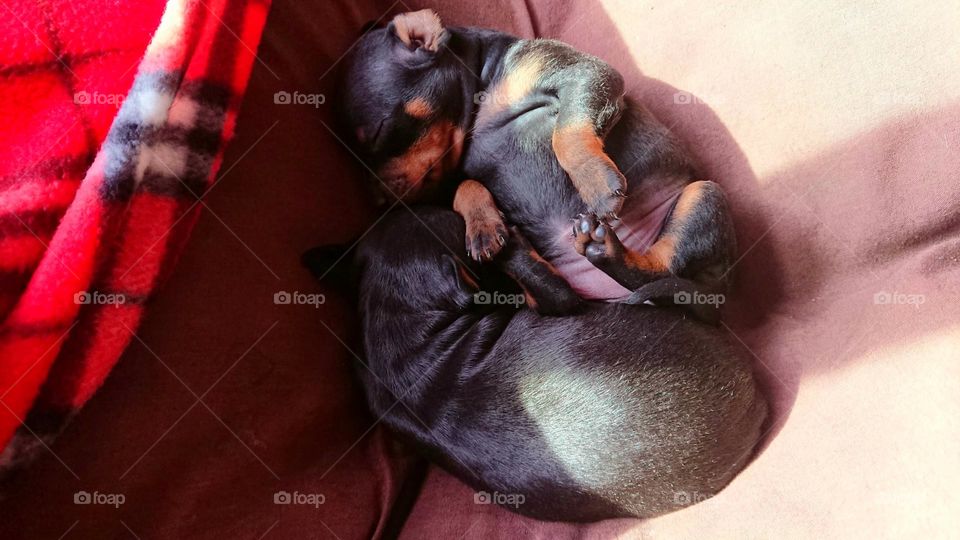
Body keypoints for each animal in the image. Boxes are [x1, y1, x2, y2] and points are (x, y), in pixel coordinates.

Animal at [304, 207, 768, 524]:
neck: (395, 315)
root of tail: (754, 401)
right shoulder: (558, 299)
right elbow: (540, 279)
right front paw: (499, 235)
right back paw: (603, 248)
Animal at [340, 9, 736, 320]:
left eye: (378, 135)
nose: (378, 202)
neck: (483, 97)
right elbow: (465, 185)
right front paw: (483, 225)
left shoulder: (584, 75)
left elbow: (567, 131)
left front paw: (596, 184)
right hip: (551, 296)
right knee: (558, 294)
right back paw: (513, 246)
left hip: (704, 195)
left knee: (662, 264)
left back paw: (609, 251)